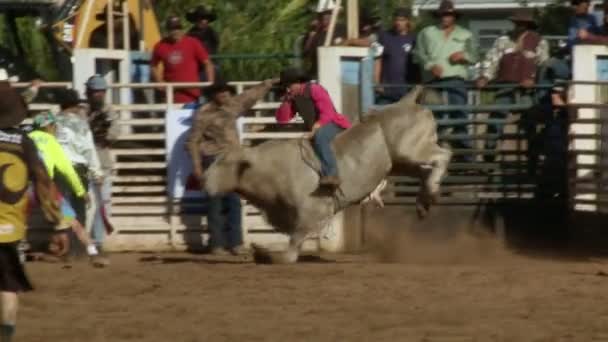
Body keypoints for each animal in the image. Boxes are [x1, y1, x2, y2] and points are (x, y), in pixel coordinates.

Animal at [203, 87, 452, 264]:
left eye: (224, 162)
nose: (203, 181)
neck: (272, 169)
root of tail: (406, 101)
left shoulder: (312, 212)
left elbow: (293, 247)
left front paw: (269, 255)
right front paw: (261, 250)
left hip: (411, 150)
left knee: (443, 155)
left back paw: (430, 193)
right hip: (401, 163)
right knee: (425, 171)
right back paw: (424, 202)